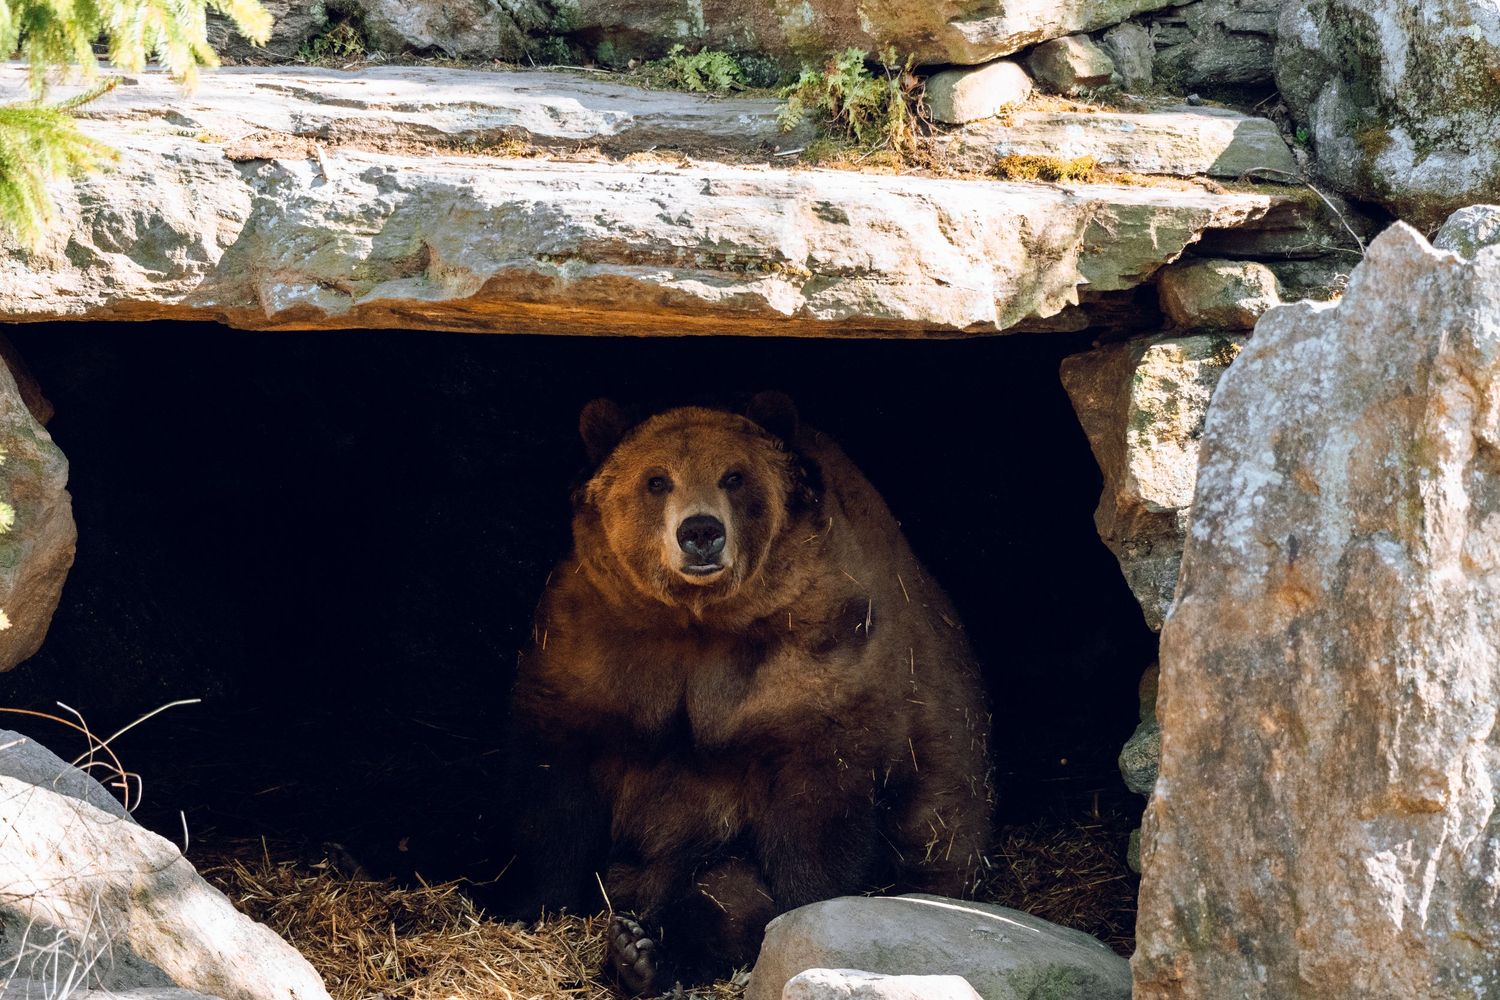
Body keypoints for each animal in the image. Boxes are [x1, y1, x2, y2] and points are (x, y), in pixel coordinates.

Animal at [502, 392, 993, 994]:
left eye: (733, 475)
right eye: (656, 479)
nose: (700, 530)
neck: (699, 622)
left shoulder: (816, 653)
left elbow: (816, 813)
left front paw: (806, 913)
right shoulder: (594, 643)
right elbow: (556, 787)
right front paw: (534, 903)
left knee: (726, 892)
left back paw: (643, 952)